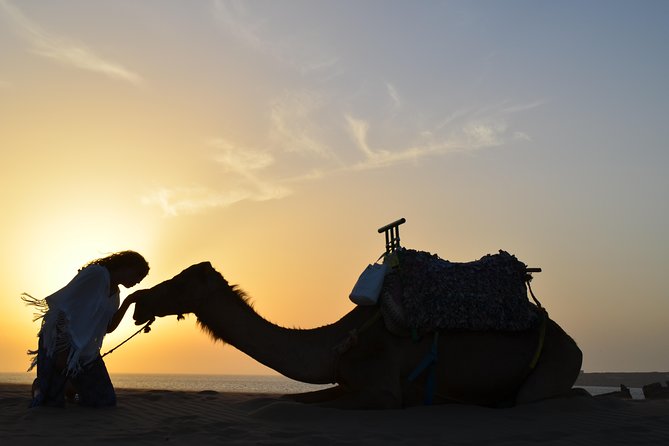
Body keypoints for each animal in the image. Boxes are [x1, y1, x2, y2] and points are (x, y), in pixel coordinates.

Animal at [129, 264, 580, 410]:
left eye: (180, 282)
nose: (139, 300)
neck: (337, 341)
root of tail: (570, 340)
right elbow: (294, 400)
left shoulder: (382, 389)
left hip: (557, 363)